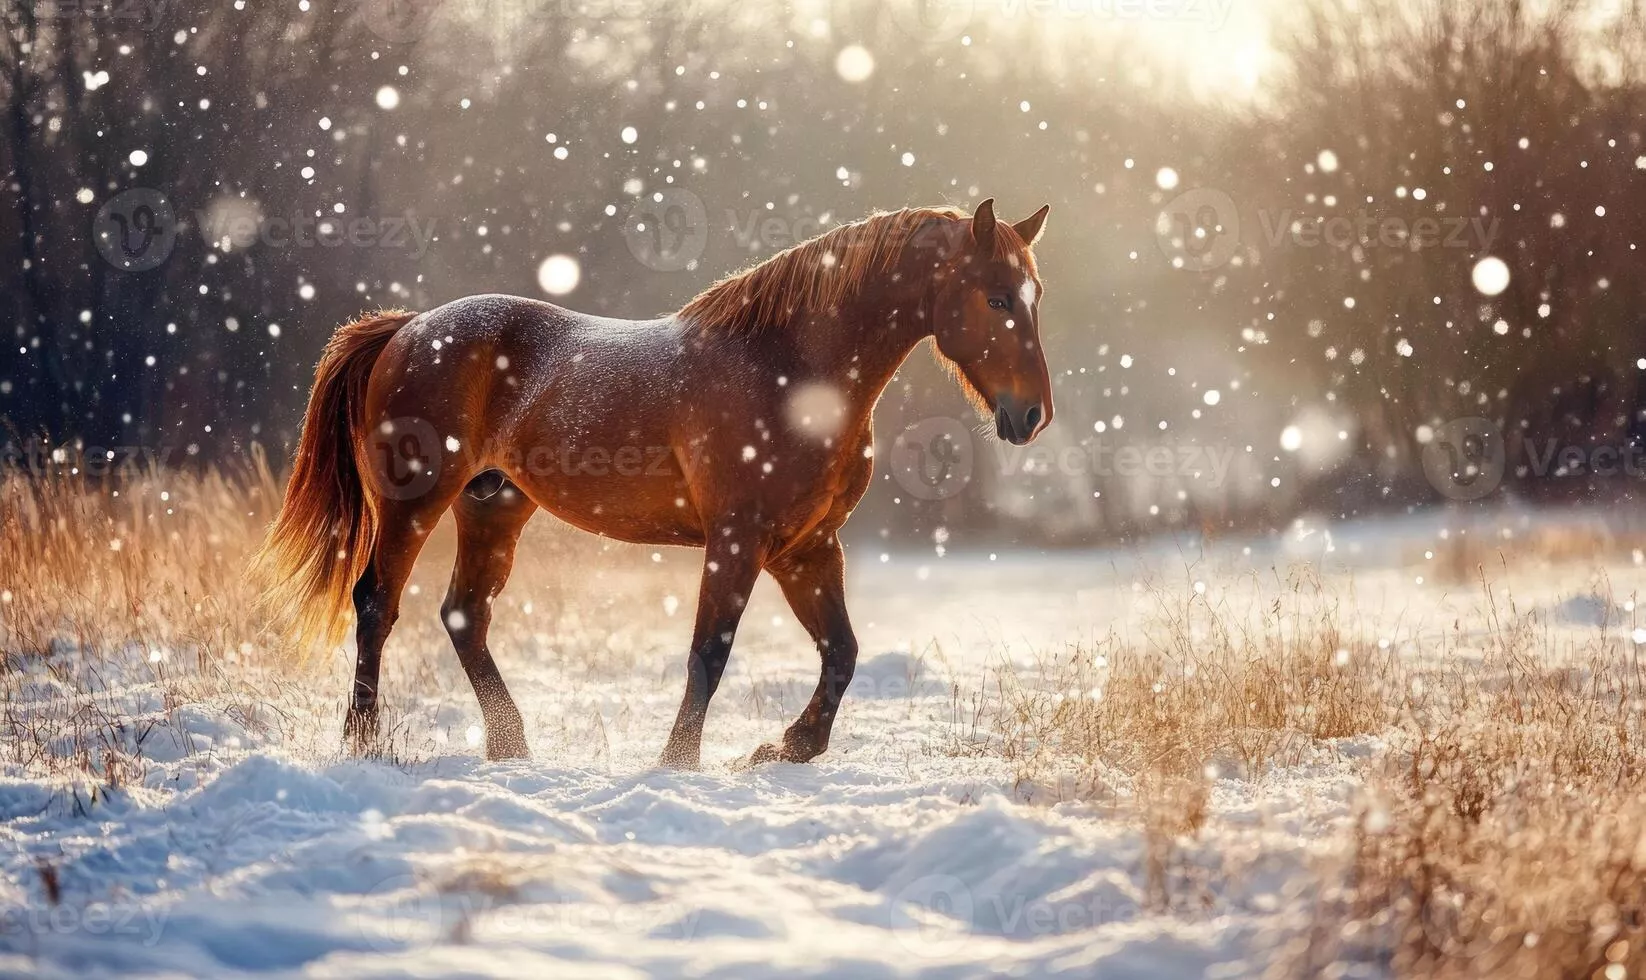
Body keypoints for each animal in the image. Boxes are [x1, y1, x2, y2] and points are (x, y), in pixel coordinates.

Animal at [253, 198, 1054, 768]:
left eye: (1034, 294)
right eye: (996, 298)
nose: (1033, 415)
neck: (793, 373)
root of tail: (411, 326)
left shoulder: (809, 546)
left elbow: (843, 653)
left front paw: (785, 748)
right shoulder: (738, 541)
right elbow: (710, 652)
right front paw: (679, 762)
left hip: (494, 508)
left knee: (463, 616)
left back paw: (511, 746)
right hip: (414, 502)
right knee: (377, 603)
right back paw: (364, 741)